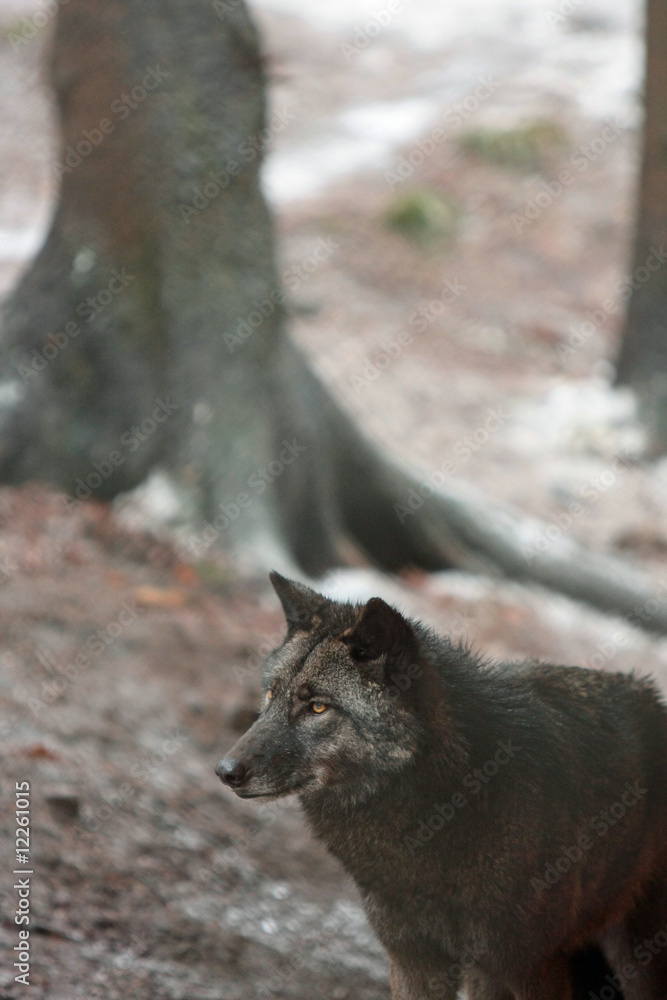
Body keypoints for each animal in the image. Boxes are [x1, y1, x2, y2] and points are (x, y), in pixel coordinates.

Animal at [215, 574, 667, 1000]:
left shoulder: (534, 969)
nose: (225, 771)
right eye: (270, 695)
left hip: (637, 958)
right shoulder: (415, 961)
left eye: (318, 707)